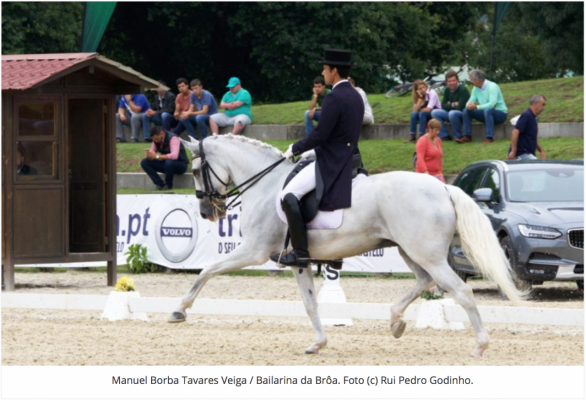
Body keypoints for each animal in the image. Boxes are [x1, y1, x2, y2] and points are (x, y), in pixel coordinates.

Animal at [169, 134, 524, 356]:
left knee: (460, 291)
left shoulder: (254, 251)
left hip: (426, 254)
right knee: (424, 281)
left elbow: (207, 269)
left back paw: (480, 345)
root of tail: (444, 189)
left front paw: (179, 310)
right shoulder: (298, 260)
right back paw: (395, 321)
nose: (207, 212)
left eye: (196, 170)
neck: (266, 184)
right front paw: (318, 344)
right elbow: (310, 303)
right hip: (410, 251)